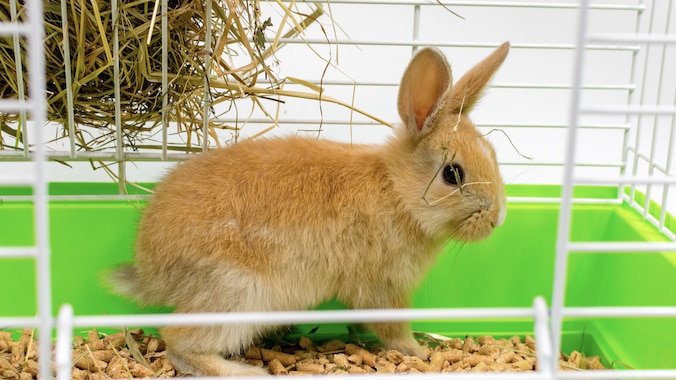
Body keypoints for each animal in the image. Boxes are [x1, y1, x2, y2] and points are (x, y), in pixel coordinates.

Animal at [111, 42, 510, 378]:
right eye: (452, 174)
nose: (497, 219)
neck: (397, 191)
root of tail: (150, 271)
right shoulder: (384, 288)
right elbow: (392, 327)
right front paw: (419, 352)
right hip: (238, 294)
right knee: (178, 341)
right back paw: (244, 372)